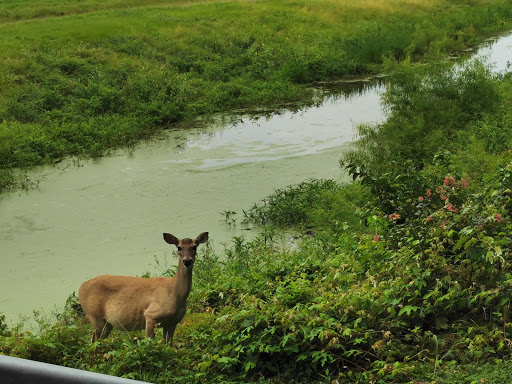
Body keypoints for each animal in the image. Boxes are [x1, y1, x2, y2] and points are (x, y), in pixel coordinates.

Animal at [78, 232, 210, 344]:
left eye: (195, 246)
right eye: (179, 247)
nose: (187, 260)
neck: (175, 293)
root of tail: (81, 287)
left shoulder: (172, 322)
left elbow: (168, 346)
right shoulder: (150, 315)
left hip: (107, 324)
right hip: (95, 317)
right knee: (94, 341)